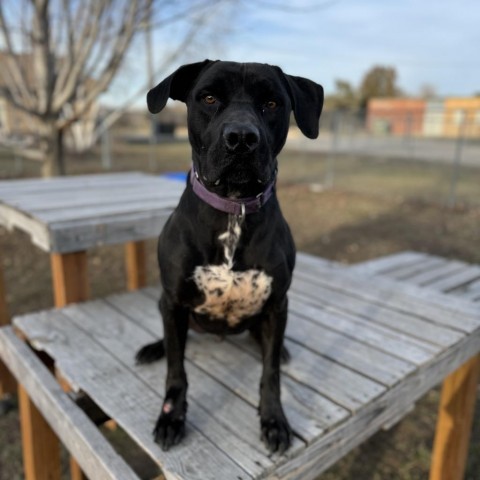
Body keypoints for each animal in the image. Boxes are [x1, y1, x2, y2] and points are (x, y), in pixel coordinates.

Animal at [135, 60, 322, 454]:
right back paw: (154, 347)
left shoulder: (277, 304)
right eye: (208, 97)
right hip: (167, 307)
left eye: (272, 103)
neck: (234, 209)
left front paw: (274, 420)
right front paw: (171, 417)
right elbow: (176, 371)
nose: (241, 138)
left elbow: (271, 374)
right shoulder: (173, 301)